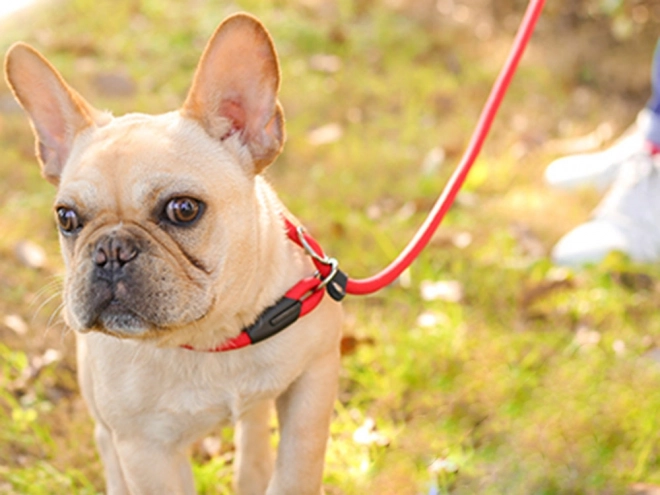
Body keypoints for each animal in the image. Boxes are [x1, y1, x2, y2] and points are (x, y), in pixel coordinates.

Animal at [5, 11, 342, 495]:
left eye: (183, 209)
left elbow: (298, 468)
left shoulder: (315, 377)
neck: (211, 337)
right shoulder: (146, 449)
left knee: (255, 423)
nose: (111, 250)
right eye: (66, 218)